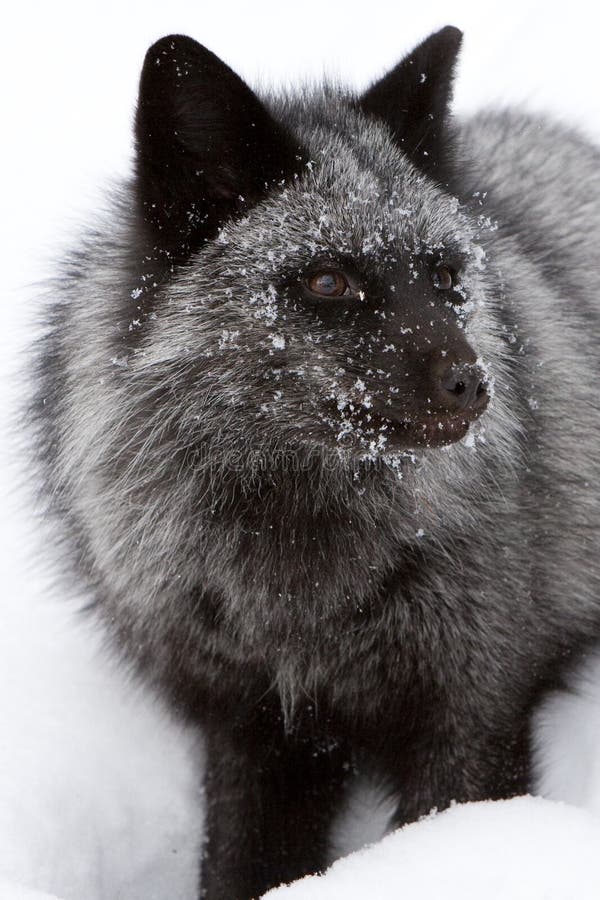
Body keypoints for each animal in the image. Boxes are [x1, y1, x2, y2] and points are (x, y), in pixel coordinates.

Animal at [36, 24, 600, 900]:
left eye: (445, 274)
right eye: (329, 280)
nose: (474, 384)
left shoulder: (476, 705)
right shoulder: (252, 724)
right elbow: (239, 865)